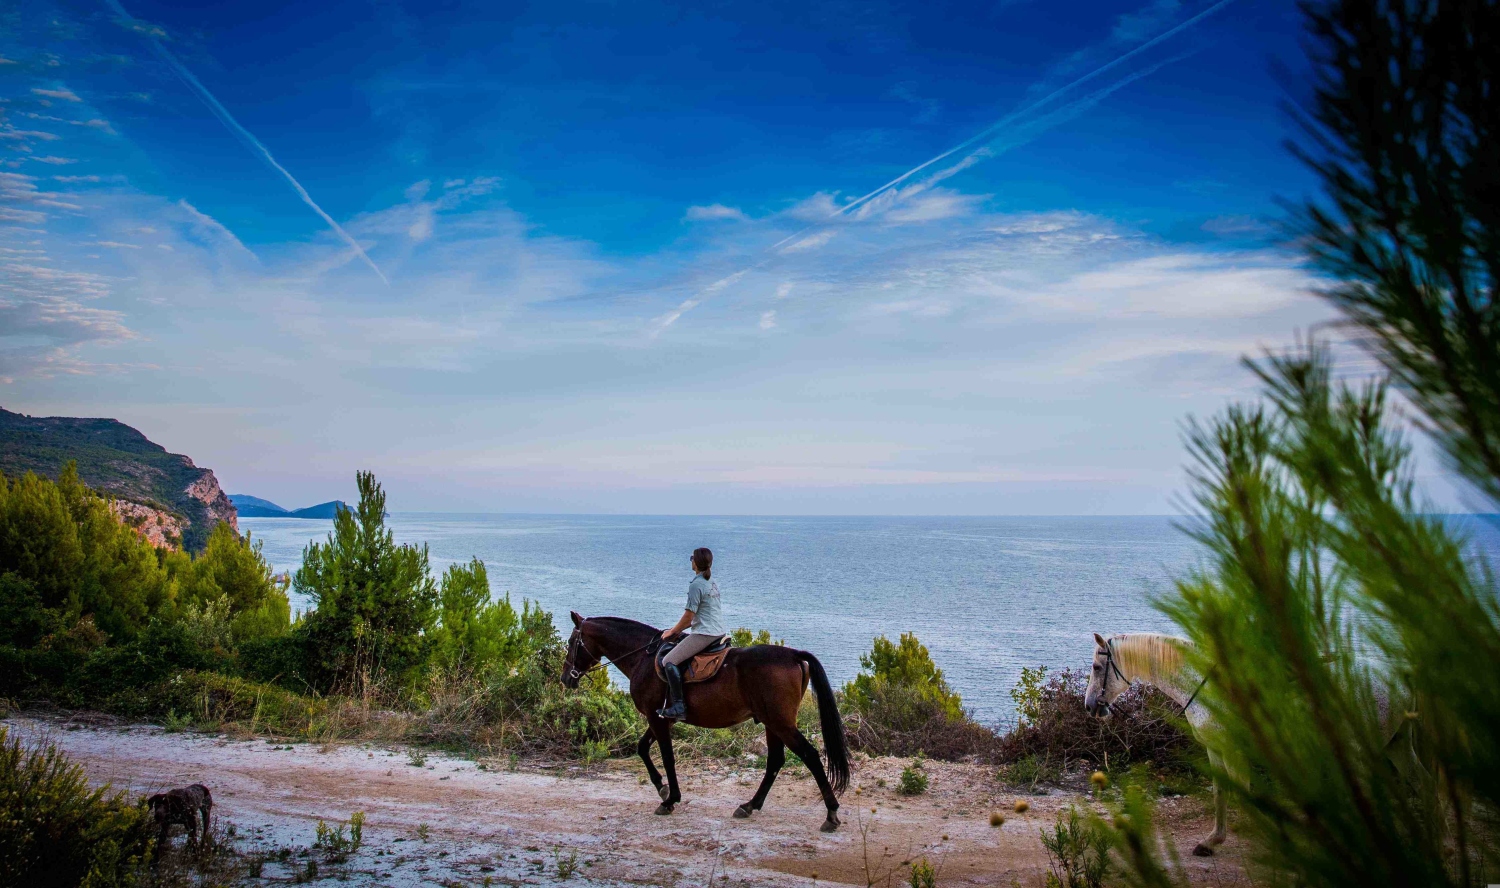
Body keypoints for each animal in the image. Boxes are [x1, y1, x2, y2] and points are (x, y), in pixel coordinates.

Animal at [561, 612, 849, 831]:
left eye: (572, 642)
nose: (566, 678)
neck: (643, 657)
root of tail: (794, 655)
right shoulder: (663, 719)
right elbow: (642, 748)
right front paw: (663, 789)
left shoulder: (656, 718)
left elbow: (667, 757)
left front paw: (670, 799)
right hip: (772, 723)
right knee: (775, 762)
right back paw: (749, 806)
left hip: (781, 723)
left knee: (810, 756)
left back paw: (831, 814)